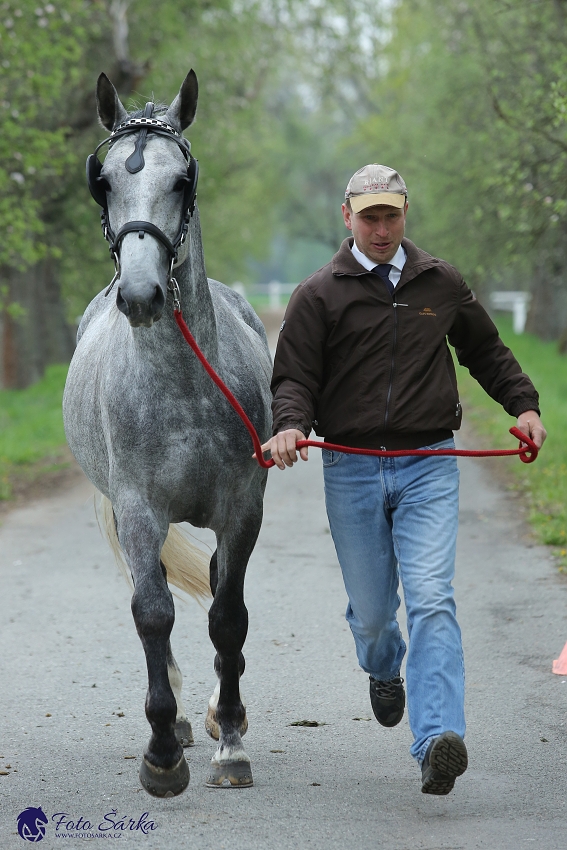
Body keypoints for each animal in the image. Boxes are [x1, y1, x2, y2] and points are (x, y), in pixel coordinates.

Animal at [63, 73, 272, 796]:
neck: (181, 385)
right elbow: (152, 612)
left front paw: (231, 741)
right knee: (149, 593)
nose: (140, 294)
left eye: (182, 179)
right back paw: (179, 718)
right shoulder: (137, 510)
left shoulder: (242, 510)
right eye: (103, 183)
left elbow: (227, 616)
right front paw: (161, 751)